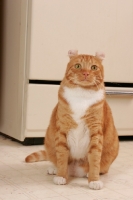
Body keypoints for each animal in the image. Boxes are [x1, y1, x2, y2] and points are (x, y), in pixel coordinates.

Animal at [25, 49, 119, 189]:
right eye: (78, 66)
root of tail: (76, 172)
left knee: (103, 168)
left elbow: (95, 159)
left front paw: (94, 180)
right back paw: (54, 169)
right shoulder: (62, 130)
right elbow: (62, 157)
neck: (82, 95)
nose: (86, 73)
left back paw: (89, 173)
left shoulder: (96, 133)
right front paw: (61, 176)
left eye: (93, 67)